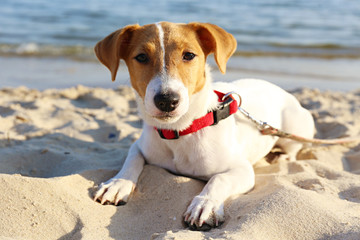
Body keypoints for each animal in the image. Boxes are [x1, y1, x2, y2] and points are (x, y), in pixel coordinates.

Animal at [93, 22, 316, 231]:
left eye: (189, 55)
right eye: (141, 57)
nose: (167, 101)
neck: (181, 131)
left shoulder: (242, 169)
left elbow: (219, 179)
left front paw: (206, 204)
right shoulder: (141, 145)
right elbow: (132, 159)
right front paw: (117, 183)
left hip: (294, 126)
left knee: (293, 148)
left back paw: (282, 157)